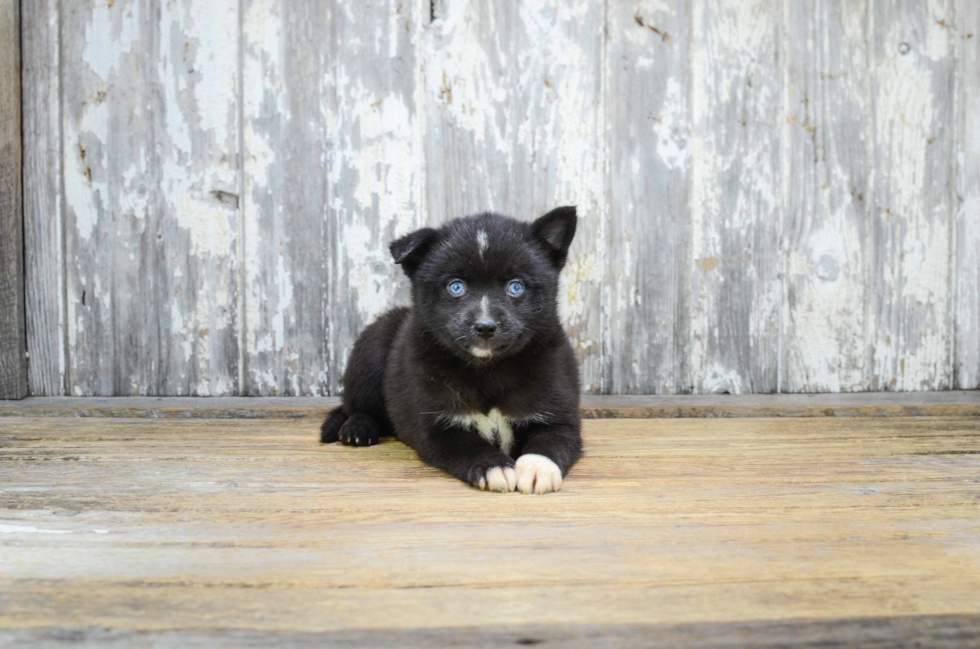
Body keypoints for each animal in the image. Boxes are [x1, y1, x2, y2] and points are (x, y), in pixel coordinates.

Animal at [322, 205, 580, 494]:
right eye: (456, 286)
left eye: (516, 286)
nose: (485, 327)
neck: (488, 370)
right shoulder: (436, 428)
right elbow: (470, 447)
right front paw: (495, 467)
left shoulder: (560, 415)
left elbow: (549, 442)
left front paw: (537, 469)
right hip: (372, 349)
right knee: (356, 406)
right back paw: (357, 429)